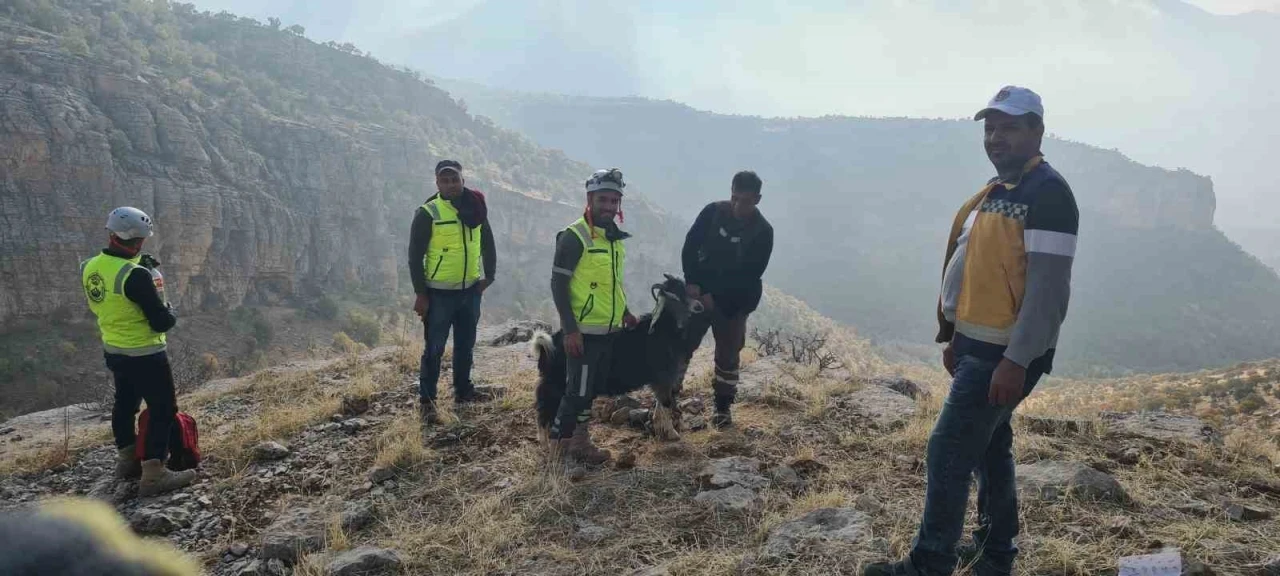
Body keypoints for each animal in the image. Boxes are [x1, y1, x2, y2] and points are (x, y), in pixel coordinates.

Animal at [532, 273, 706, 440]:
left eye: (685, 289)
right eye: (674, 296)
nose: (699, 306)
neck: (662, 328)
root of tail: (547, 345)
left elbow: (660, 403)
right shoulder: (663, 376)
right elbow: (665, 403)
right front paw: (671, 433)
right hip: (555, 383)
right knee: (544, 416)